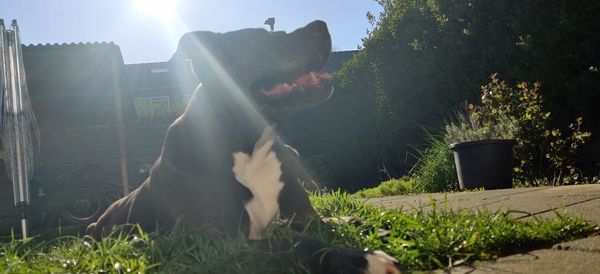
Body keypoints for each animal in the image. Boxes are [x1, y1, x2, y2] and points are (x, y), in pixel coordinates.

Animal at [84, 20, 400, 274]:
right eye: (262, 39)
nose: (321, 24)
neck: (251, 147)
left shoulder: (304, 216)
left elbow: (337, 218)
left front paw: (370, 225)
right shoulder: (224, 241)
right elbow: (290, 242)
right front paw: (360, 259)